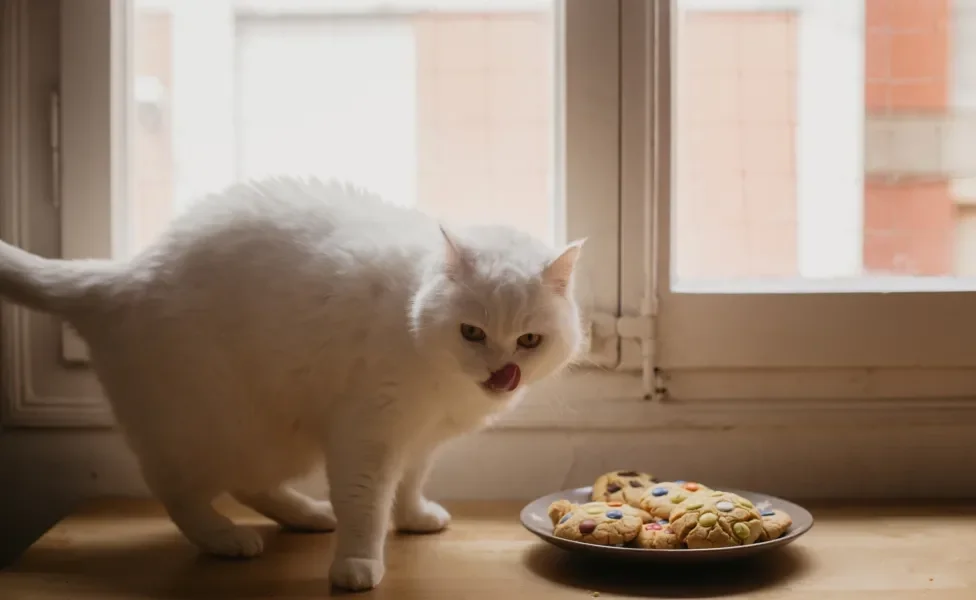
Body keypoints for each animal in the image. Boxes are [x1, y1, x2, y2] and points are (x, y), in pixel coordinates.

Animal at [0, 177, 584, 592]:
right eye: (472, 333)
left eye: (528, 340)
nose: (500, 373)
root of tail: (123, 276)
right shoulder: (368, 433)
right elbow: (366, 502)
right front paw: (357, 564)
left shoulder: (419, 438)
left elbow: (409, 483)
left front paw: (414, 517)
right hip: (209, 423)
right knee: (175, 489)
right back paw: (226, 537)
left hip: (270, 437)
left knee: (247, 484)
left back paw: (307, 515)